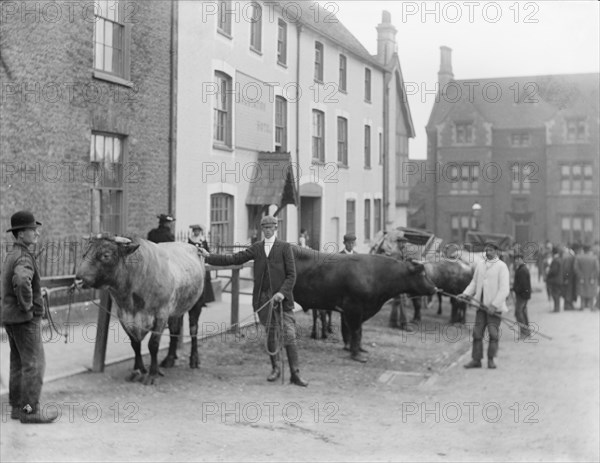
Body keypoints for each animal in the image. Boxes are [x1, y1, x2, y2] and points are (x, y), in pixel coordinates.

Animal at [75, 236, 205, 384]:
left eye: (105, 255)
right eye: (84, 254)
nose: (78, 279)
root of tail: (195, 248)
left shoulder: (161, 314)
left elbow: (153, 345)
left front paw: (152, 374)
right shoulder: (124, 316)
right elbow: (135, 344)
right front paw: (138, 370)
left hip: (196, 303)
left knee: (193, 330)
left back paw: (194, 360)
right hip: (177, 308)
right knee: (174, 330)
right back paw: (169, 359)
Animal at [290, 246, 436, 362]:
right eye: (422, 273)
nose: (435, 288)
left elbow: (359, 331)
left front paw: (359, 349)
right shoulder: (353, 308)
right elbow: (355, 331)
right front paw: (356, 355)